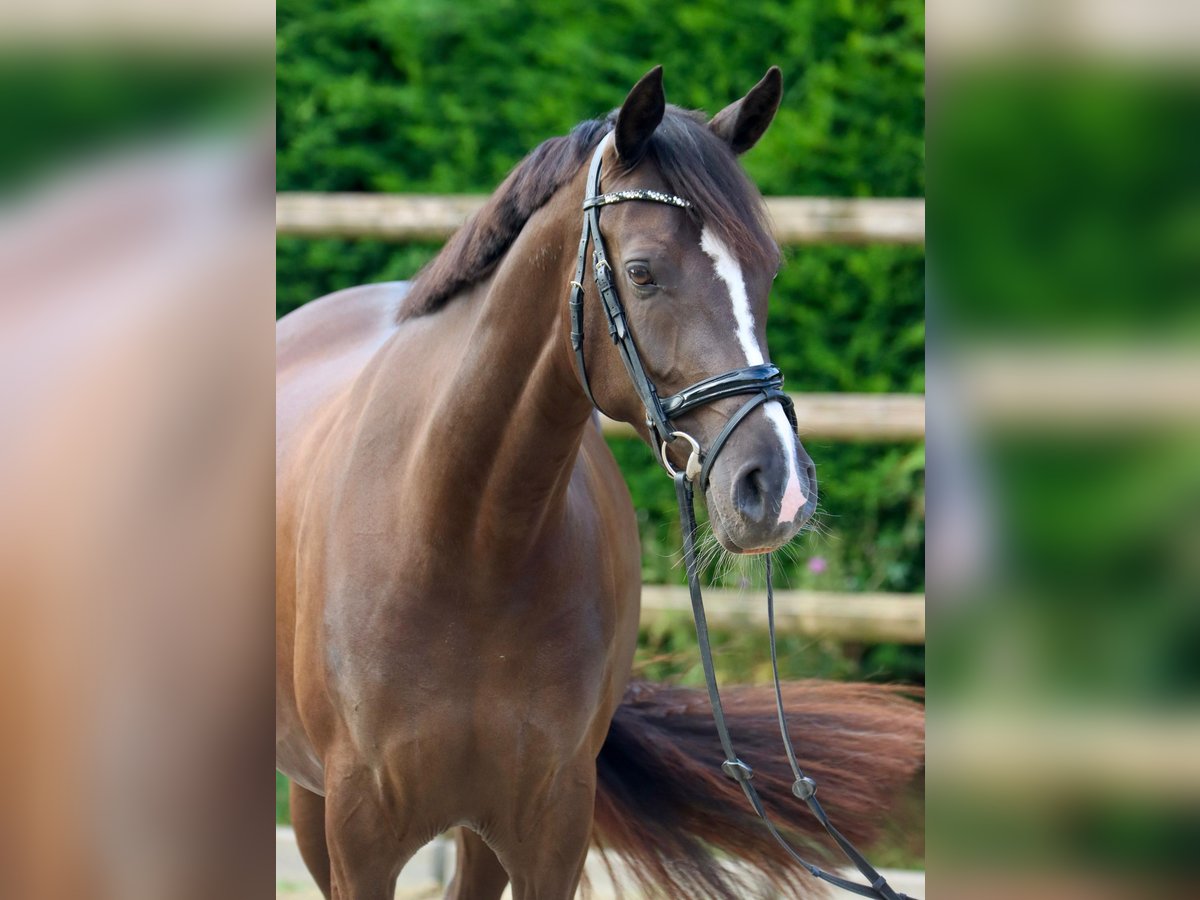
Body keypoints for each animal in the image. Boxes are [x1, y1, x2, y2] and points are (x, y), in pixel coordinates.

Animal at [276, 67, 923, 900]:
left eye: (770, 271)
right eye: (642, 272)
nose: (777, 489)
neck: (464, 538)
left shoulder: (551, 827)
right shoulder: (361, 836)